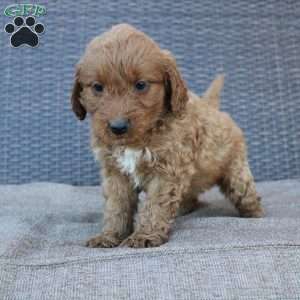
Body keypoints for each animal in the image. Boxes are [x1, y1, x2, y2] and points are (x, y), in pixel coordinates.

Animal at [70, 24, 262, 248]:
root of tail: (213, 108)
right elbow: (116, 206)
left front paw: (144, 235)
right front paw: (110, 235)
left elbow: (155, 205)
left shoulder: (166, 170)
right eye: (97, 87)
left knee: (246, 195)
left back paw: (255, 215)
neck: (137, 139)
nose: (118, 127)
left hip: (236, 171)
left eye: (141, 85)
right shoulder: (115, 172)